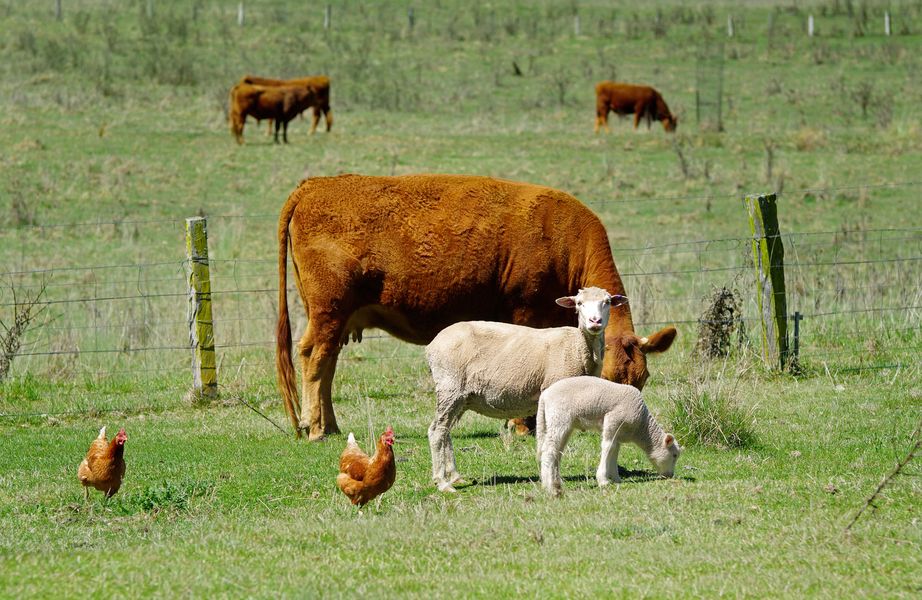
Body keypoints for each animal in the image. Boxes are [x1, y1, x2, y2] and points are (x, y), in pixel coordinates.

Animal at [276, 174, 677, 440]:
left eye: (641, 380)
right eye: (607, 379)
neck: (564, 238)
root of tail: (313, 185)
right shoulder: (527, 313)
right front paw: (522, 426)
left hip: (336, 317)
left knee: (327, 364)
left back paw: (330, 425)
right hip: (329, 311)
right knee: (314, 357)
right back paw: (316, 428)